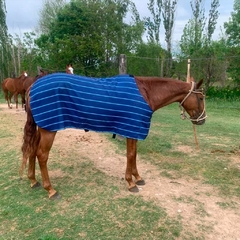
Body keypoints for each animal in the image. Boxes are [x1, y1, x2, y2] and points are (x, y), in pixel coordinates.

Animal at [19, 74, 206, 200]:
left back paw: (33, 180)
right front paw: (130, 182)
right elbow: (130, 155)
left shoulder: (133, 130)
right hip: (49, 129)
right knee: (42, 155)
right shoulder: (131, 127)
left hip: (42, 127)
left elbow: (134, 155)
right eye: (201, 97)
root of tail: (32, 87)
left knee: (32, 150)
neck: (146, 93)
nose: (203, 120)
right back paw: (50, 189)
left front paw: (138, 178)